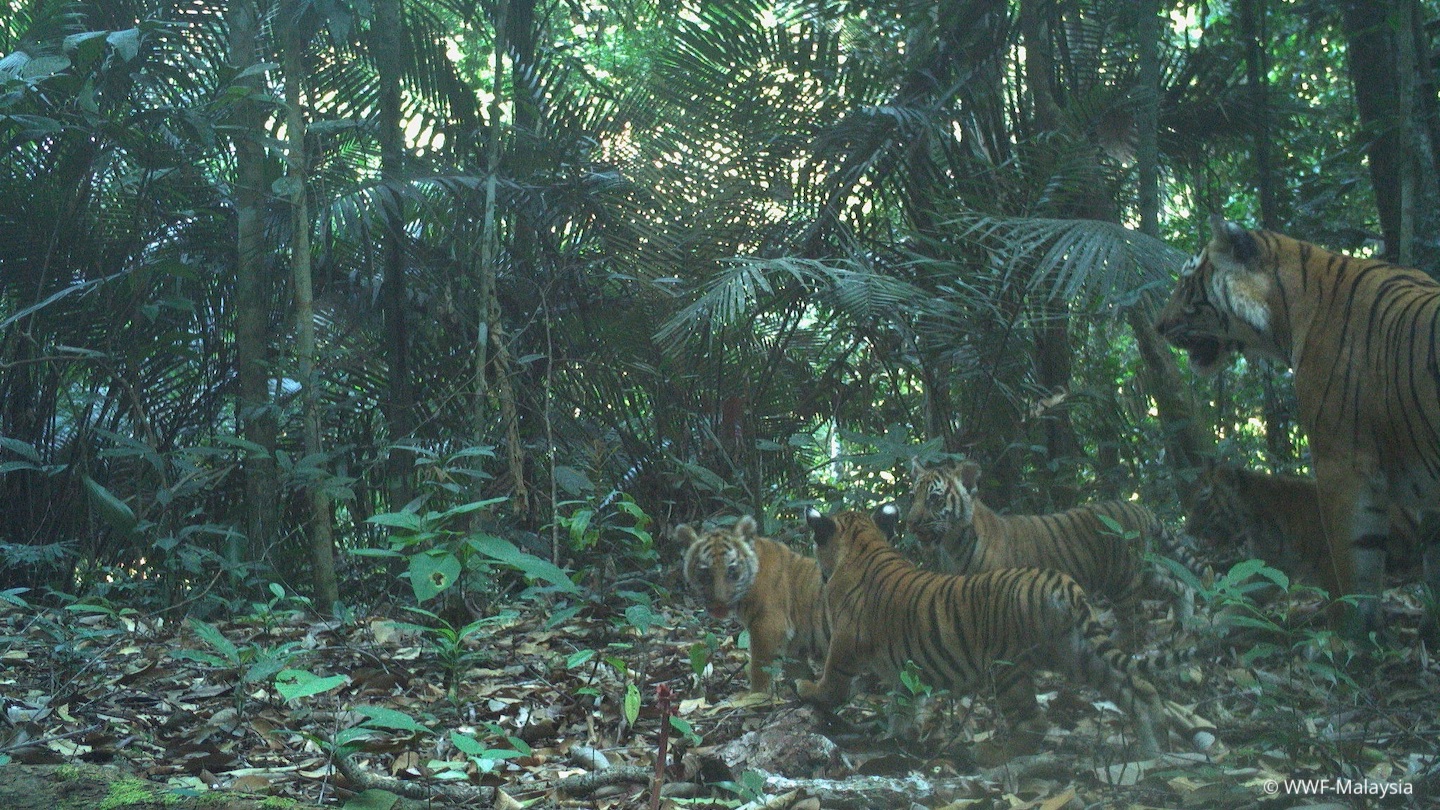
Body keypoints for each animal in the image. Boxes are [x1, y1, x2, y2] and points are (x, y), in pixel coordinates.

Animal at [676, 513, 829, 691]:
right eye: (705, 573)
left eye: (732, 570)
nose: (720, 602)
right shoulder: (794, 646)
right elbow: (799, 673)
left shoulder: (769, 627)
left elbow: (760, 670)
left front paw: (756, 695)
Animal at [800, 507, 1203, 755]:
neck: (863, 545)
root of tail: (1061, 584)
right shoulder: (905, 669)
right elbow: (903, 702)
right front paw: (899, 737)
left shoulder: (843, 646)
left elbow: (832, 685)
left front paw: (806, 689)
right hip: (1077, 653)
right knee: (1138, 689)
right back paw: (1153, 751)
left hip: (1008, 669)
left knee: (1034, 722)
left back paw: (993, 755)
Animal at [904, 458, 1198, 639]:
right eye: (913, 497)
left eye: (934, 499)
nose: (910, 522)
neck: (953, 544)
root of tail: (1137, 507)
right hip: (1140, 572)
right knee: (1177, 582)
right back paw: (1185, 622)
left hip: (1124, 580)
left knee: (1133, 621)